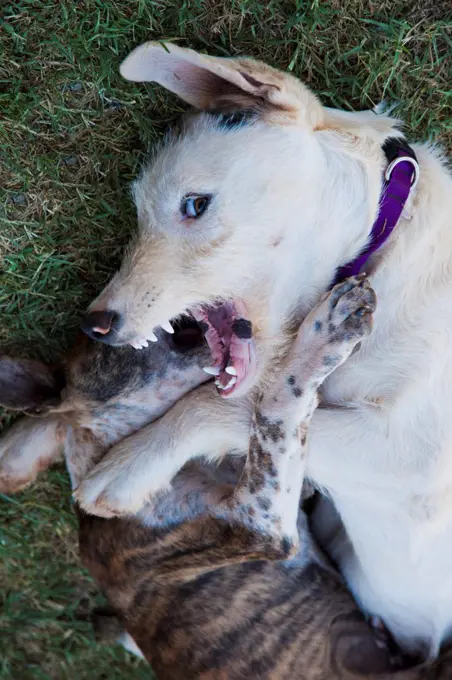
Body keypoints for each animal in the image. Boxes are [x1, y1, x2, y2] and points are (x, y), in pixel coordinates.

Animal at [75, 42, 452, 660]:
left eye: (195, 204)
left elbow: (225, 407)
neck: (387, 248)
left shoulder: (410, 458)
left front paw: (130, 466)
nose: (94, 325)